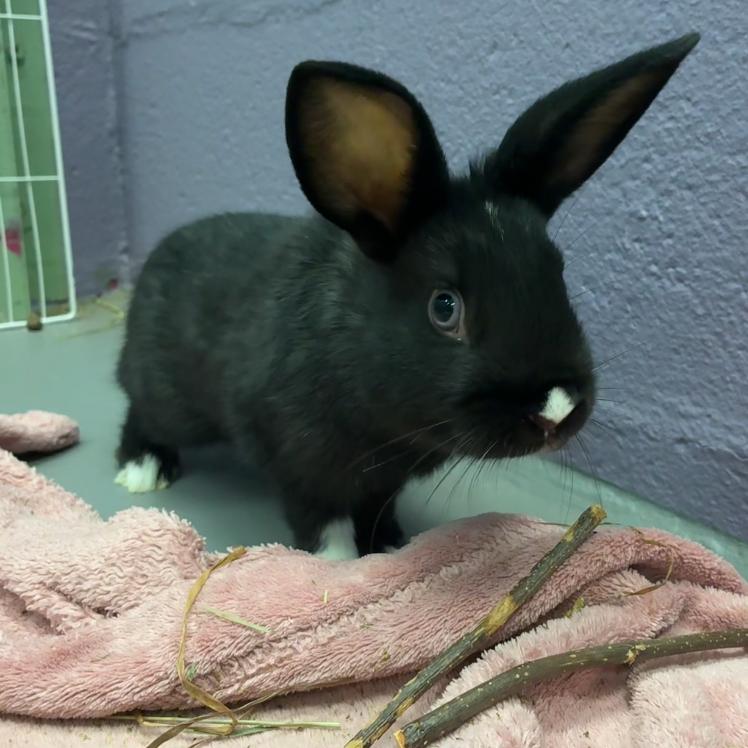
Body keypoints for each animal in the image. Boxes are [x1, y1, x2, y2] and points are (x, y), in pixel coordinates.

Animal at [115, 33, 699, 559]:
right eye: (445, 306)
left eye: (558, 272)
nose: (555, 410)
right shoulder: (303, 463)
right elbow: (322, 523)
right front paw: (338, 566)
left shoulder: (383, 479)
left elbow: (376, 509)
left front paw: (391, 546)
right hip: (173, 402)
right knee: (139, 409)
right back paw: (141, 470)